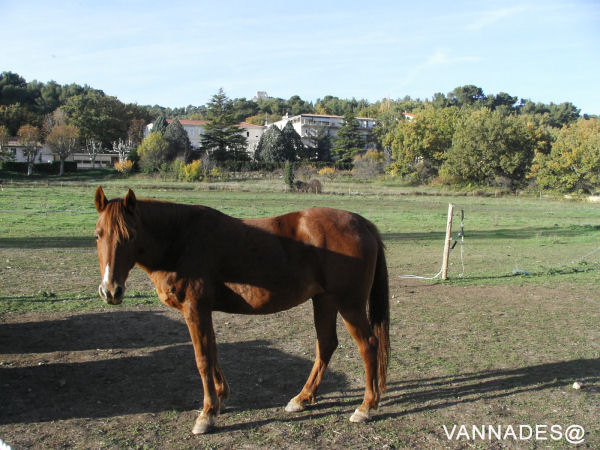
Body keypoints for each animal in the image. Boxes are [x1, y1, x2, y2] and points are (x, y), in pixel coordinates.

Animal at [94, 185, 390, 432]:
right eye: (98, 235)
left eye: (130, 235)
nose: (111, 290)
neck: (180, 239)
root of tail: (362, 223)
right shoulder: (204, 311)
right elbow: (212, 352)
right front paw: (220, 399)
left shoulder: (195, 309)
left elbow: (202, 359)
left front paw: (206, 414)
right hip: (324, 300)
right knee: (326, 345)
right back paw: (303, 398)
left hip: (349, 304)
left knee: (368, 345)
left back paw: (366, 406)